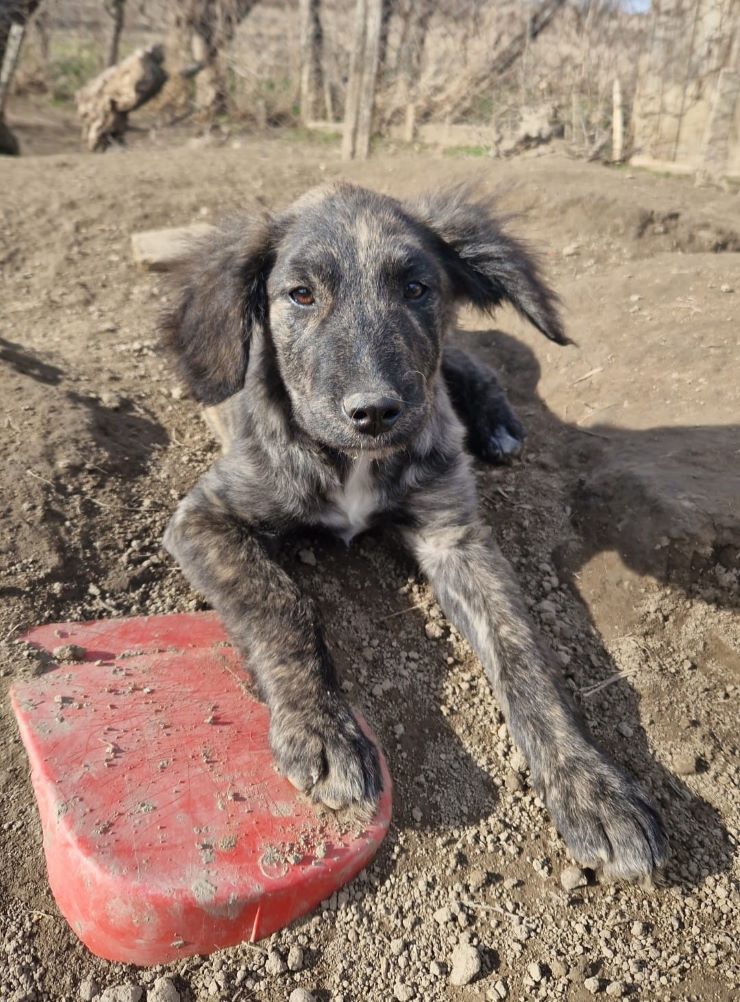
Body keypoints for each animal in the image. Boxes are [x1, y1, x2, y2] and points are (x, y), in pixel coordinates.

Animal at [160, 184, 664, 881]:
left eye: (418, 288)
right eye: (301, 294)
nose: (374, 412)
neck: (353, 463)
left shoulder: (455, 537)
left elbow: (524, 655)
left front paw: (592, 785)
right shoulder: (205, 516)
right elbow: (280, 603)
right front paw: (321, 729)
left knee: (467, 361)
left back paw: (497, 424)